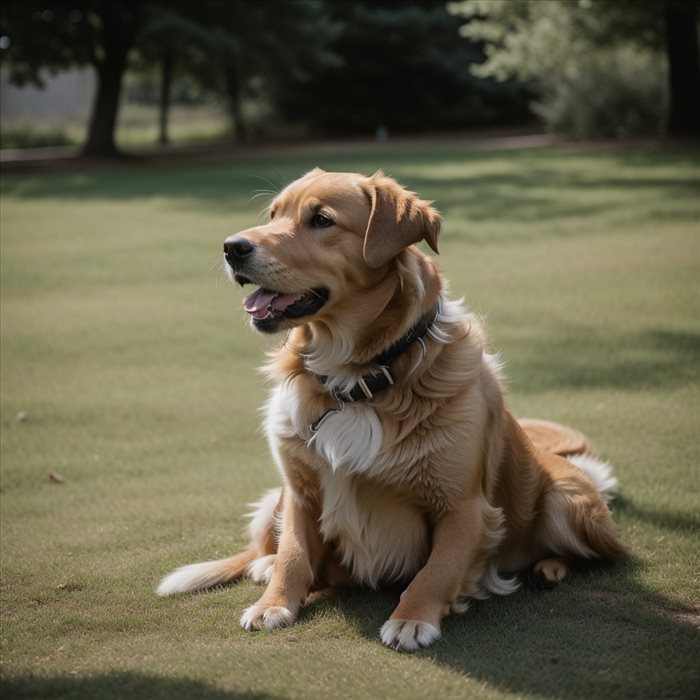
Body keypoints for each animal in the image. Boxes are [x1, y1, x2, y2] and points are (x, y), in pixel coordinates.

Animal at [160, 168, 628, 652]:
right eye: (273, 215)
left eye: (321, 220)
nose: (232, 247)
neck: (356, 380)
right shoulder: (299, 492)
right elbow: (293, 553)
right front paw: (274, 603)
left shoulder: (465, 507)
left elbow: (437, 569)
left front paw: (412, 618)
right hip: (274, 499)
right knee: (268, 551)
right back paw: (265, 567)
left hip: (570, 503)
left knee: (601, 554)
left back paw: (549, 566)